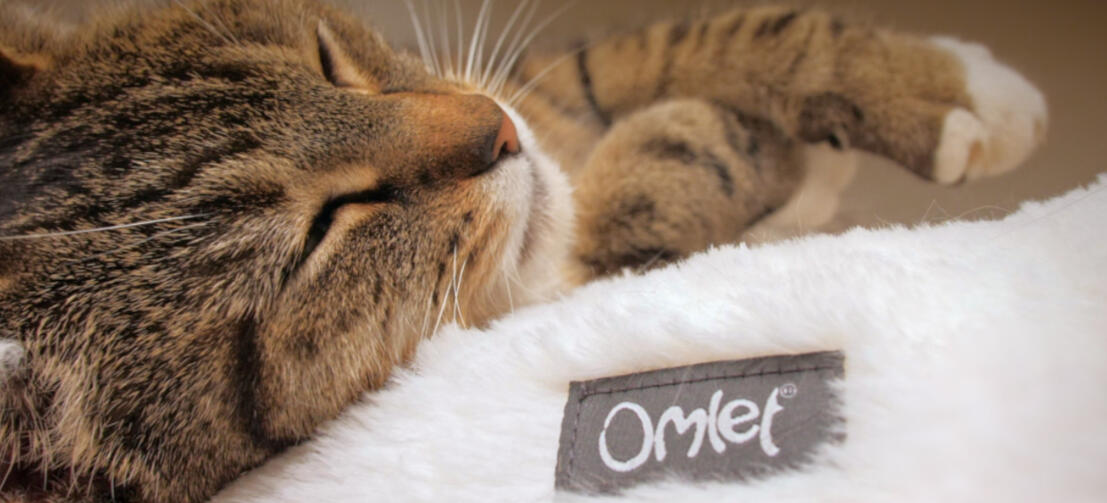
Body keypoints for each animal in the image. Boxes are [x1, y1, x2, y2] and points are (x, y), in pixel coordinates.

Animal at [0, 0, 1045, 500]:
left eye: (327, 61)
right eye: (321, 229)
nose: (493, 133)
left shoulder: (543, 81)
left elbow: (700, 40)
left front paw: (948, 91)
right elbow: (649, 195)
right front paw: (730, 152)